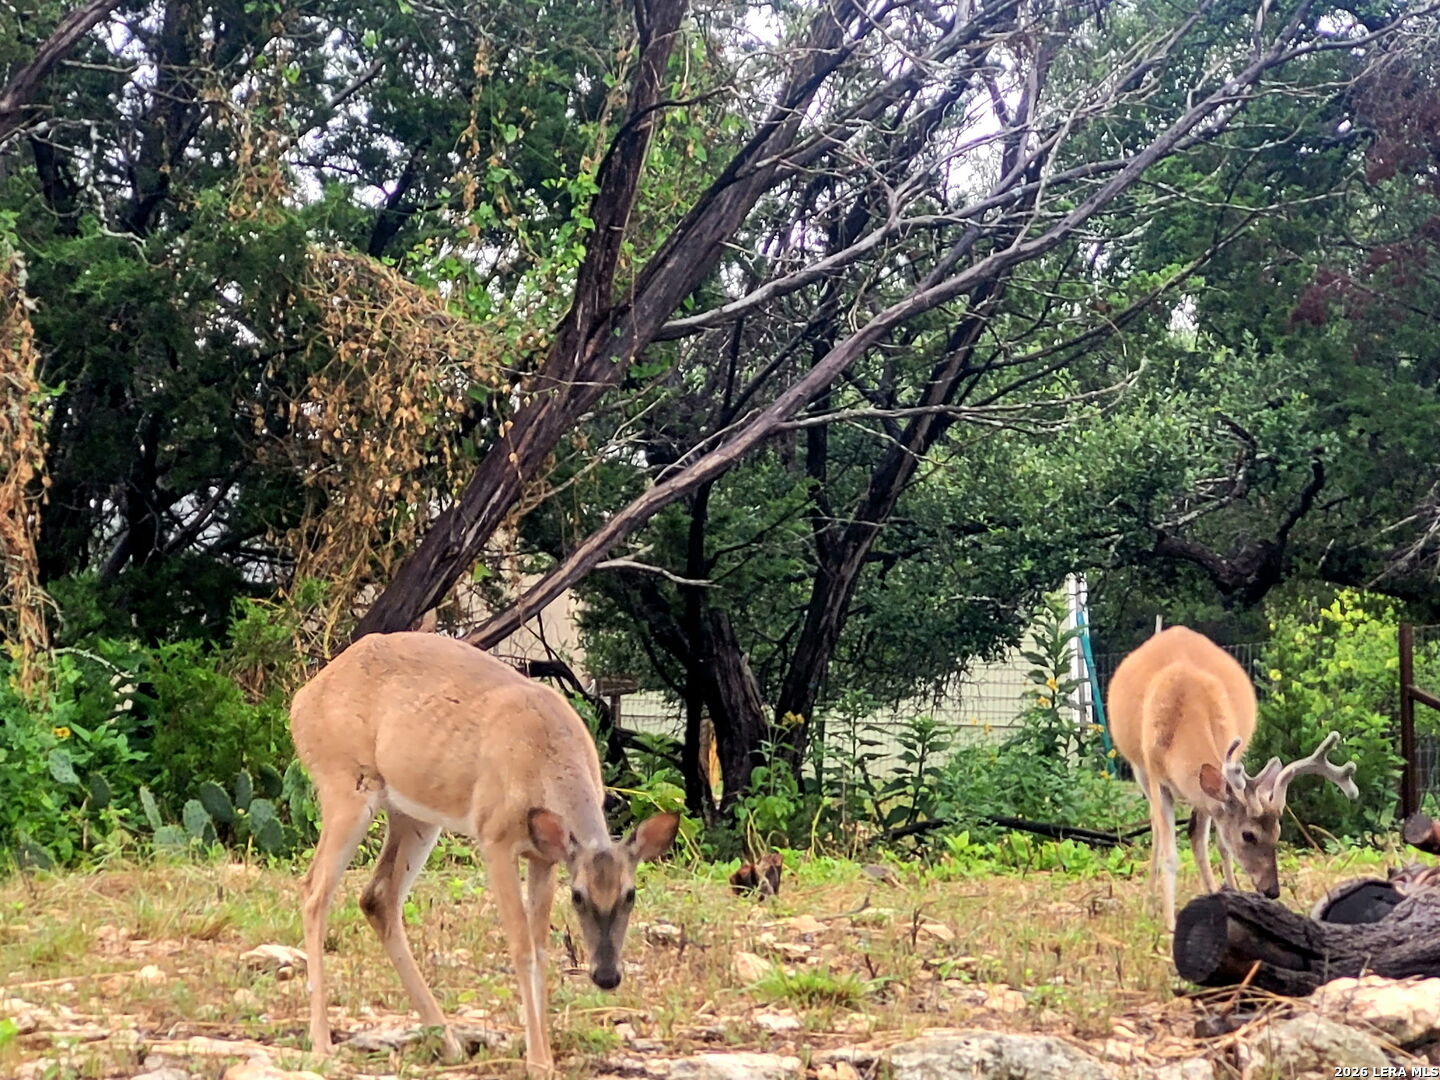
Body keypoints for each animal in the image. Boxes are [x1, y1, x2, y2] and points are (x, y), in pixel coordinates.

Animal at [289, 631, 680, 1074]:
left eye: (631, 894)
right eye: (578, 896)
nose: (607, 976)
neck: (543, 757)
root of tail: (301, 701)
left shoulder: (544, 856)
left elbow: (541, 949)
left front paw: (545, 1055)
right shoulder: (495, 839)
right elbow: (522, 947)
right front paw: (538, 1062)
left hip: (415, 815)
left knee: (378, 897)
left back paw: (449, 1043)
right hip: (345, 785)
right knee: (314, 891)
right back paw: (322, 1043)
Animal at [1107, 625, 1358, 931]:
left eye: (1278, 832)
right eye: (1248, 835)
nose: (1271, 890)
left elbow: (1218, 844)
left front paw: (1227, 896)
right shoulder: (1156, 776)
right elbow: (1170, 853)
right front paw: (1169, 922)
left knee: (1199, 837)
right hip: (1139, 769)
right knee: (1157, 829)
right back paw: (1149, 904)